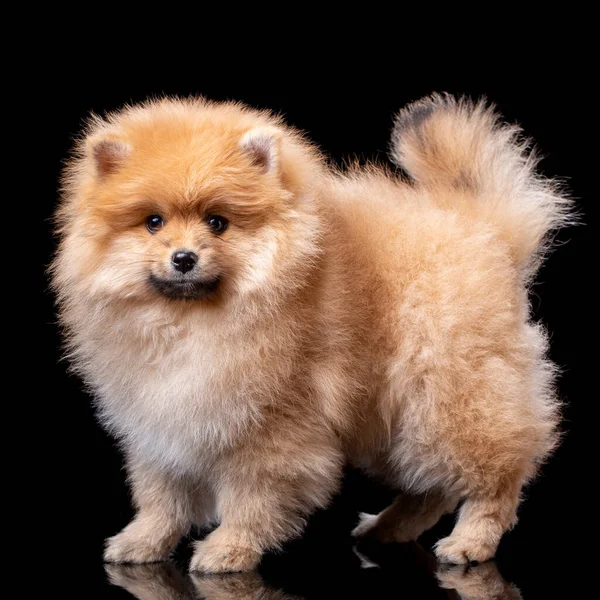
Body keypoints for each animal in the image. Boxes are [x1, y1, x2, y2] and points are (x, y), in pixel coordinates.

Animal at [50, 94, 568, 572]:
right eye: (153, 223)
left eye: (217, 223)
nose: (183, 258)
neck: (189, 323)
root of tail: (484, 229)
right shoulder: (160, 420)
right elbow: (162, 496)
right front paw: (143, 541)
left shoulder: (271, 425)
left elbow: (251, 496)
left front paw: (230, 548)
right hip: (391, 421)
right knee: (431, 488)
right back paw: (387, 528)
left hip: (449, 399)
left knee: (495, 475)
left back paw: (470, 541)